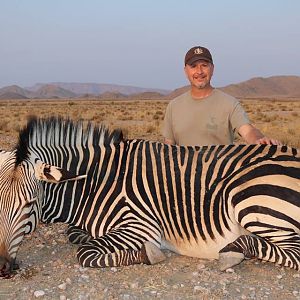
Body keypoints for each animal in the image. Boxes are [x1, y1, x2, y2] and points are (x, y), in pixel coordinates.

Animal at [0, 115, 298, 276]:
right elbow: (76, 235)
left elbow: (85, 253)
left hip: (247, 197)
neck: (94, 184)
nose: (2, 268)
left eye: (30, 204)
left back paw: (234, 251)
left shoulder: (140, 225)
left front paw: (149, 253)